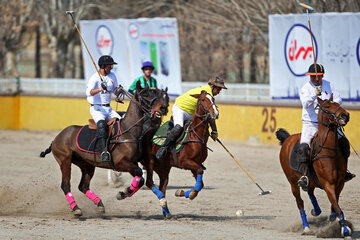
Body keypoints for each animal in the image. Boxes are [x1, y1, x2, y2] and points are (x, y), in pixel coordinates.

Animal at [276, 96, 352, 237]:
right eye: (327, 106)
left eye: (337, 103)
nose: (345, 115)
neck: (330, 151)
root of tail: (287, 139)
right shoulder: (328, 184)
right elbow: (337, 208)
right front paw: (345, 229)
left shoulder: (340, 184)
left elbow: (335, 206)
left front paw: (333, 222)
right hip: (292, 182)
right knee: (300, 202)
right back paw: (306, 227)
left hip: (310, 180)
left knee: (310, 191)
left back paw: (316, 210)